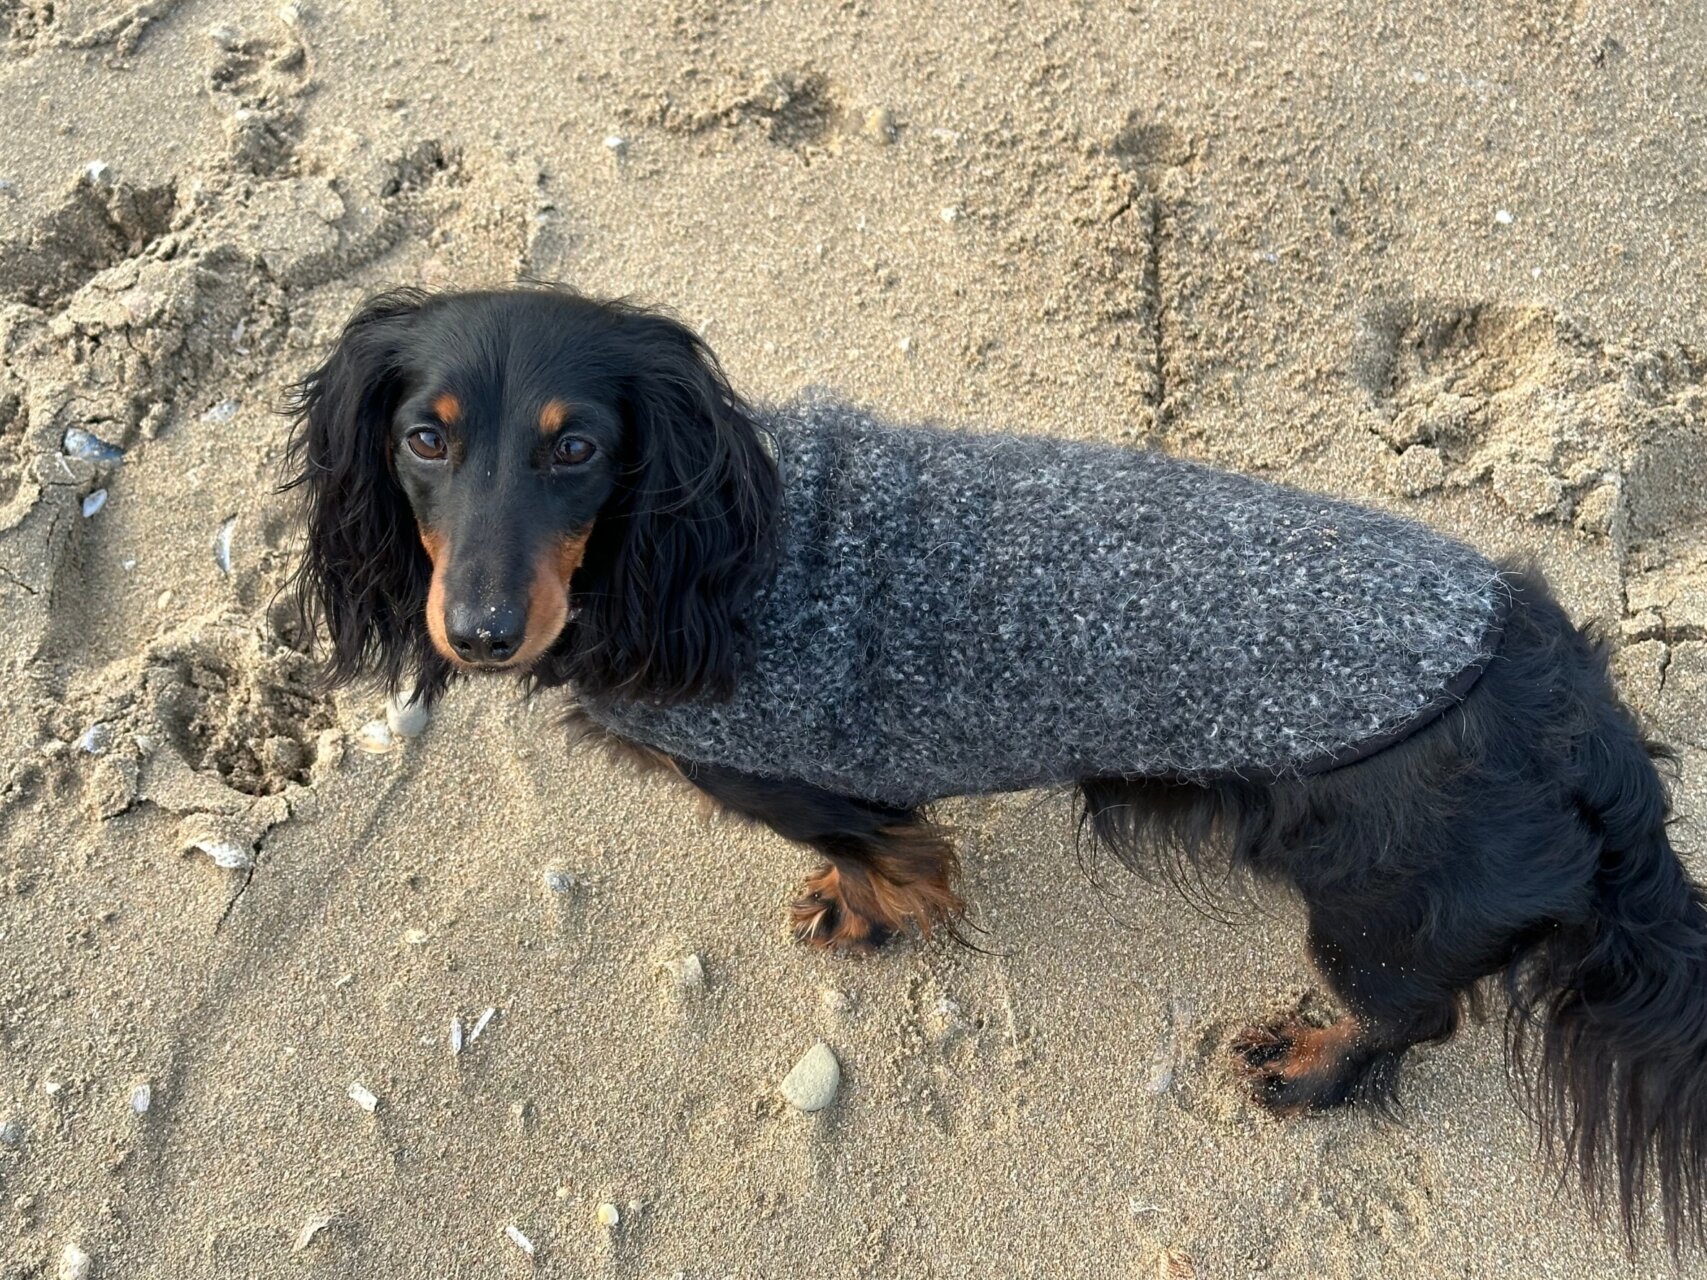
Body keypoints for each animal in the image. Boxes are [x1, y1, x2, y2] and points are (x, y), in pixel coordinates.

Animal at [286, 288, 1707, 1256]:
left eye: (577, 447)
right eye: (424, 437)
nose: (478, 632)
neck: (697, 550)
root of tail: (1564, 687)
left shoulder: (811, 787)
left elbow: (891, 857)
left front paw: (864, 913)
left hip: (1381, 912)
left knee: (1408, 1014)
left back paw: (1304, 1068)